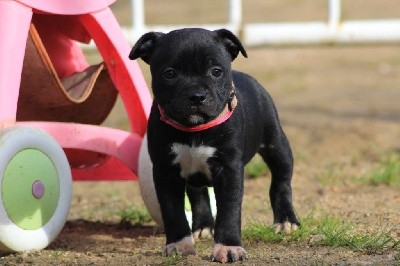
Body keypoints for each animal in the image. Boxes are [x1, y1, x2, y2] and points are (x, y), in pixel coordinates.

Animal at [130, 28, 298, 262]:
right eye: (170, 73)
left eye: (216, 71)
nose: (196, 96)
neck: (193, 130)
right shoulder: (165, 171)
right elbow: (172, 210)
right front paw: (179, 244)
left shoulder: (229, 169)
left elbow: (229, 209)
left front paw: (228, 247)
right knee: (198, 193)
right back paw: (203, 226)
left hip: (276, 143)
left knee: (281, 180)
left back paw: (286, 221)